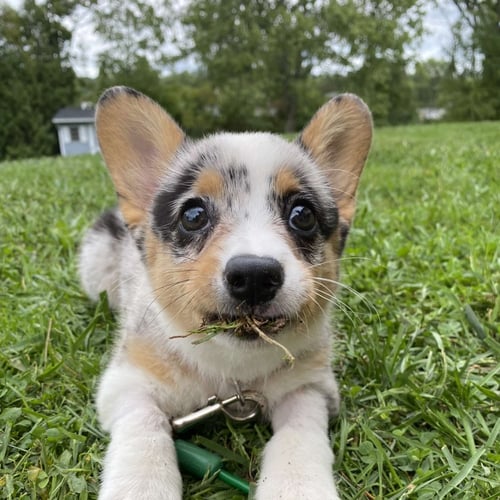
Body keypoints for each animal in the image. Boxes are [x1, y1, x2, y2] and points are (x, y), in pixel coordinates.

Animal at [80, 88, 372, 498]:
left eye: (302, 214)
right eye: (193, 215)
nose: (254, 276)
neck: (232, 368)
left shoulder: (312, 387)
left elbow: (298, 434)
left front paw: (297, 484)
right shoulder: (127, 383)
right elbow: (145, 429)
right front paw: (141, 484)